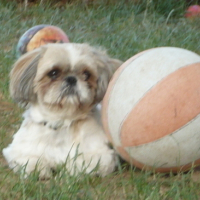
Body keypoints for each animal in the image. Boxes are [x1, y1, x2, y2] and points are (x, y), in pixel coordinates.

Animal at [2, 42, 122, 178]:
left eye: (87, 74)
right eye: (53, 73)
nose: (71, 79)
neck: (62, 122)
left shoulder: (101, 155)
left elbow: (83, 162)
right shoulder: (18, 150)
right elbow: (29, 159)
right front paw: (38, 169)